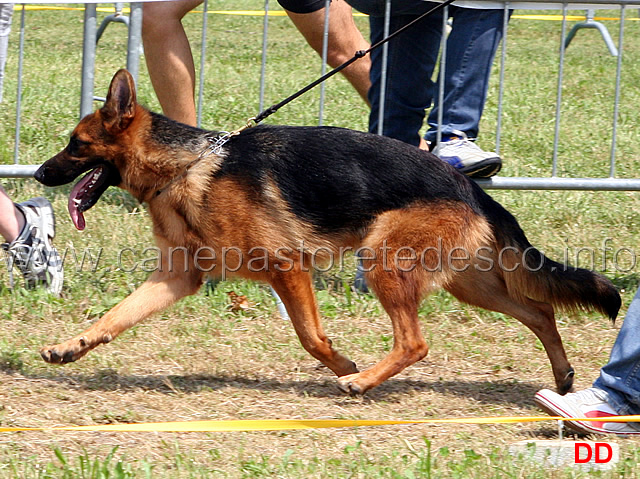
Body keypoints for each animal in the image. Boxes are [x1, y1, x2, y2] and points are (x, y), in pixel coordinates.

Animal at [35, 69, 620, 396]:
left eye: (75, 144)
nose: (38, 174)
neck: (187, 165)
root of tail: (468, 185)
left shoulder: (287, 268)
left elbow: (310, 335)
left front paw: (342, 362)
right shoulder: (178, 279)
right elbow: (114, 317)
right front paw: (71, 346)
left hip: (385, 263)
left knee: (416, 341)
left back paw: (362, 381)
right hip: (467, 283)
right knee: (539, 311)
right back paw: (564, 377)